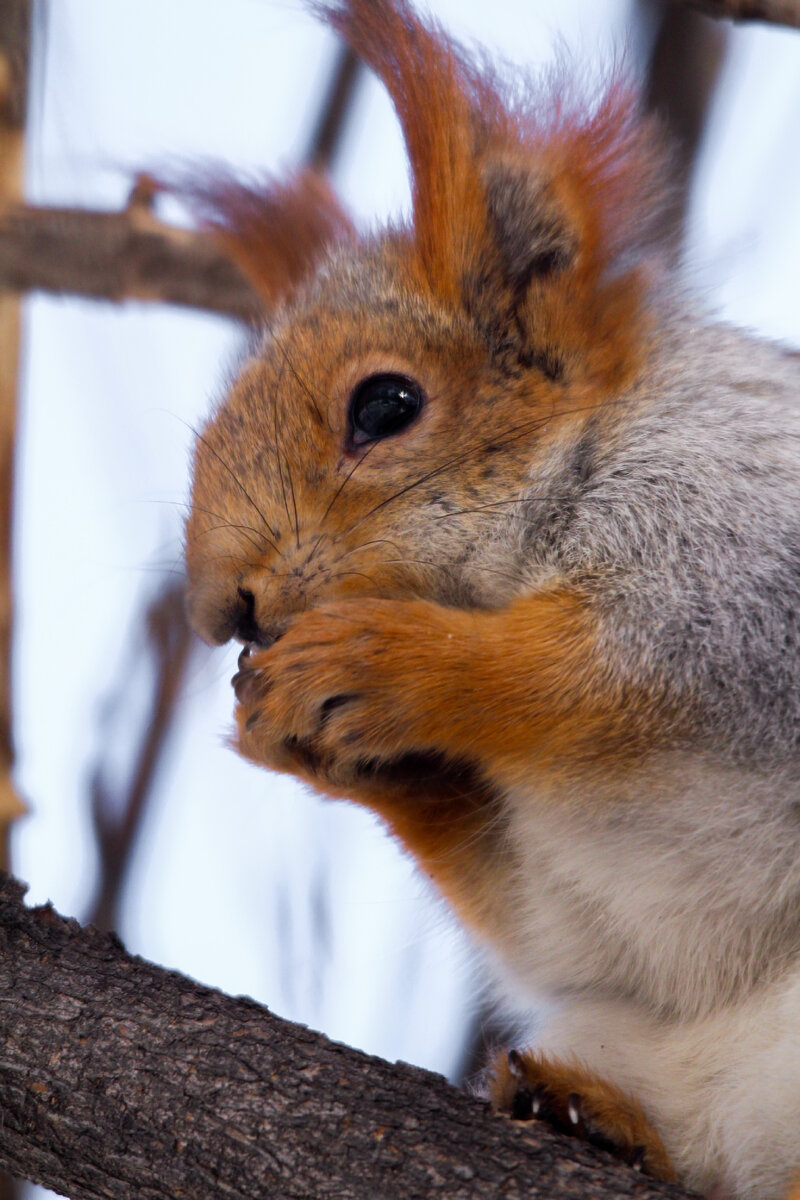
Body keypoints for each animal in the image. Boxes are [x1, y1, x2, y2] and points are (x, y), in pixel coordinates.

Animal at [181, 2, 800, 1200]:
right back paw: (594, 1113)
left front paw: (384, 663)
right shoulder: (593, 906)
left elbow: (588, 668)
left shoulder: (736, 564)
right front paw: (317, 743)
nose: (221, 607)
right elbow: (545, 920)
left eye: (385, 405)